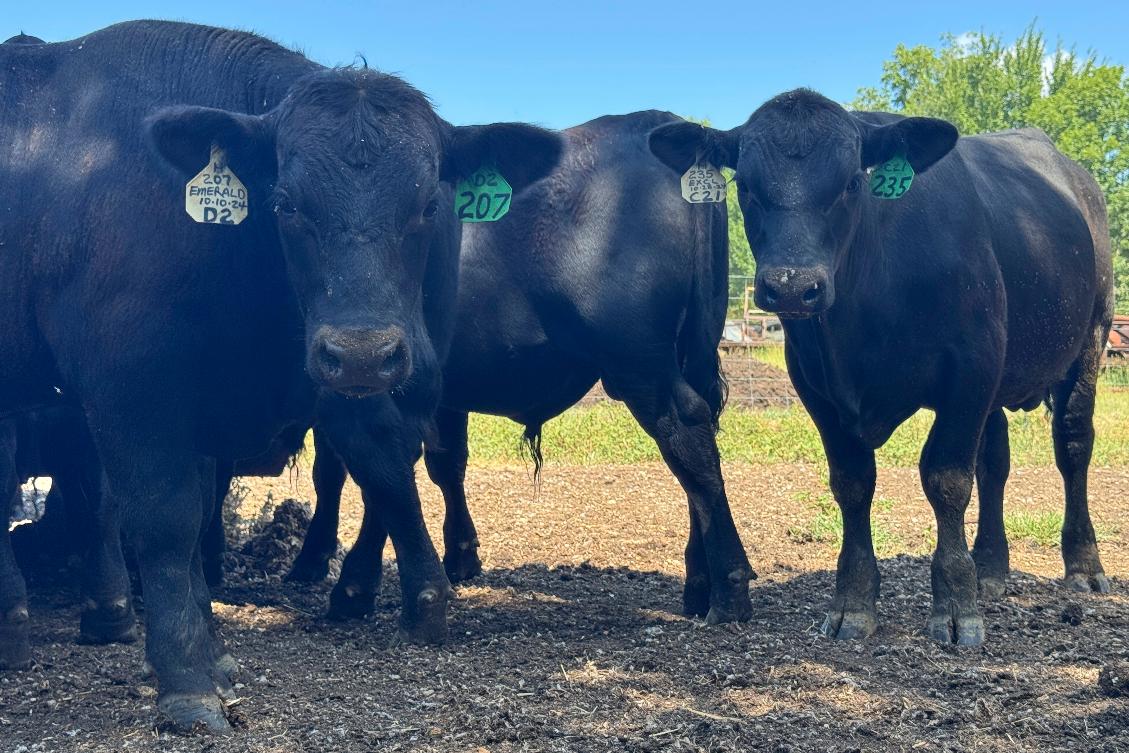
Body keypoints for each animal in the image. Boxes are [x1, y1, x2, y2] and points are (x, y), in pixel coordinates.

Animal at [0, 20, 560, 732]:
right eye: (287, 204)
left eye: (428, 204)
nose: (361, 353)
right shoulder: (128, 386)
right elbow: (165, 520)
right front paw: (186, 680)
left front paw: (211, 658)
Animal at [283, 111, 756, 625]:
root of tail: (657, 121)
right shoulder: (440, 393)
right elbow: (441, 464)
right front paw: (460, 556)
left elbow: (351, 471)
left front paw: (333, 572)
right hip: (688, 352)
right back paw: (699, 582)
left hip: (640, 361)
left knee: (687, 435)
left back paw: (728, 588)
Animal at [648, 89, 1112, 646]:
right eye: (747, 185)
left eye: (852, 182)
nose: (791, 285)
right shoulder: (816, 384)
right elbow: (852, 483)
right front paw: (853, 602)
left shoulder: (970, 369)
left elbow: (947, 478)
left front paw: (956, 605)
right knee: (995, 460)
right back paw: (990, 568)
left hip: (1090, 337)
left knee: (1072, 445)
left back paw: (1083, 565)